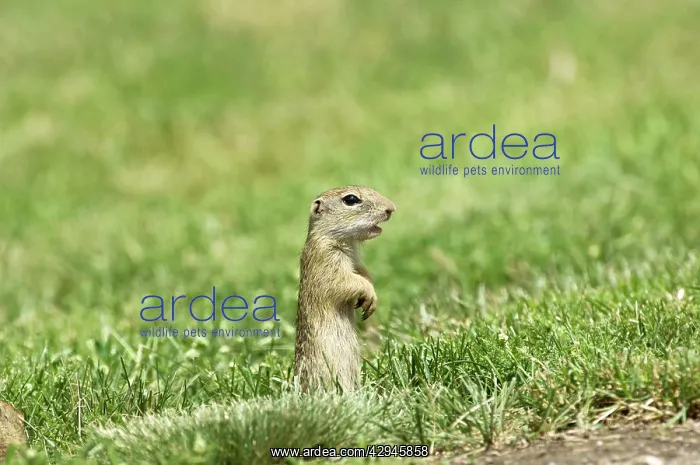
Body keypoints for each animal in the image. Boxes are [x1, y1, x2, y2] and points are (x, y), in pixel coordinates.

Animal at [293, 185, 395, 393]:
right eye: (351, 199)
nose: (391, 208)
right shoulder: (326, 261)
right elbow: (344, 281)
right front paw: (368, 294)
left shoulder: (358, 263)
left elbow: (364, 275)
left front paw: (371, 300)